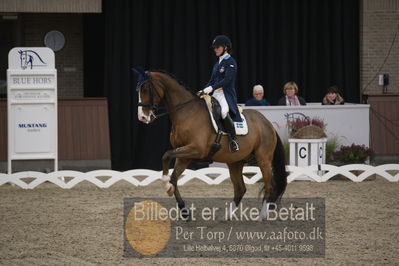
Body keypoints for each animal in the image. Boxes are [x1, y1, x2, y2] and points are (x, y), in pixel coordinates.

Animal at [134, 69, 288, 219]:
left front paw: (166, 184)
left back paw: (262, 216)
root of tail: (267, 123)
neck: (186, 112)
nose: (142, 117)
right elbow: (174, 177)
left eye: (146, 89)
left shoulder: (196, 149)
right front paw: (183, 210)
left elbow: (166, 156)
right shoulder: (184, 155)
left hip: (263, 159)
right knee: (240, 189)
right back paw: (227, 216)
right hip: (235, 162)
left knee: (269, 186)